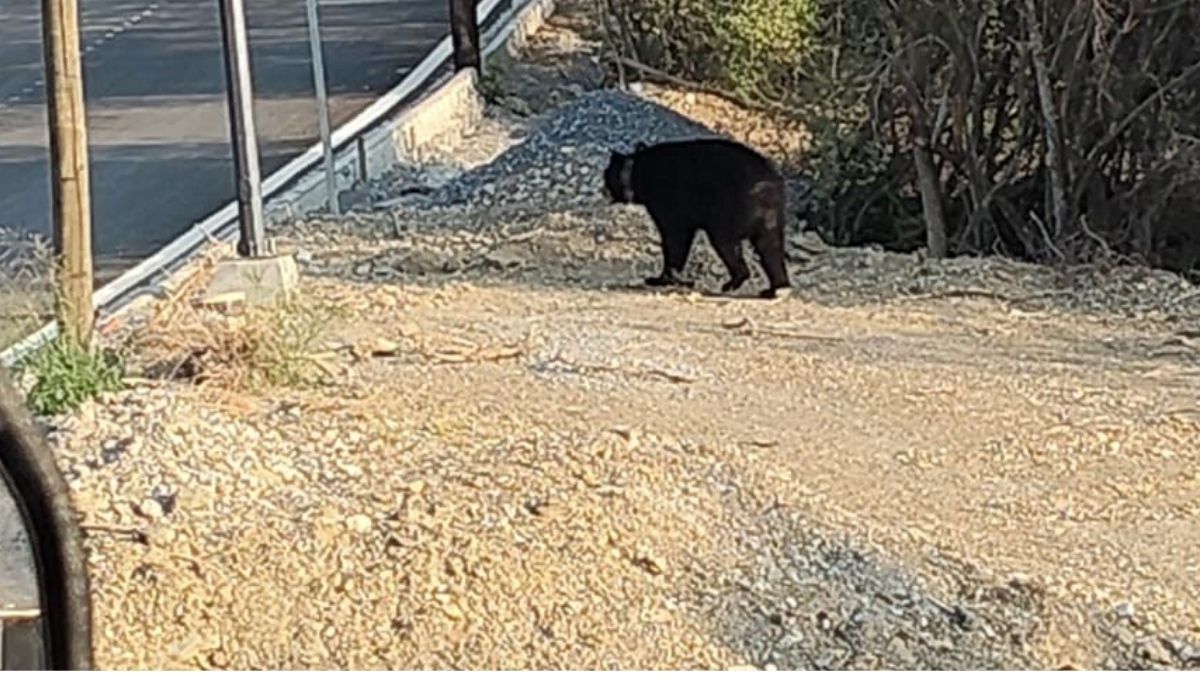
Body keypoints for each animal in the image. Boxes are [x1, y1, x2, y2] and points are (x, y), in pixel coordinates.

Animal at [602, 138, 791, 299]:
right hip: (771, 220)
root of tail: (767, 187)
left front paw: (661, 278)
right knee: (771, 249)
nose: (602, 189)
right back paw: (775, 289)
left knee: (728, 245)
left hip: (727, 212)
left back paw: (731, 283)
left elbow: (675, 239)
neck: (636, 171)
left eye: (606, 175)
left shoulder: (669, 206)